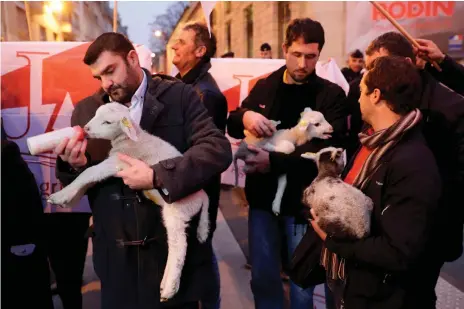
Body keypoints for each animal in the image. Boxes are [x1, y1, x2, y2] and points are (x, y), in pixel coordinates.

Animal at [47, 102, 208, 300]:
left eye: (107, 122)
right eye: (96, 114)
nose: (86, 129)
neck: (128, 139)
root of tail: (202, 196)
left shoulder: (118, 161)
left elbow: (89, 173)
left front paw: (60, 196)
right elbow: (89, 180)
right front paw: (70, 198)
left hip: (177, 210)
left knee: (179, 245)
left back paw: (169, 288)